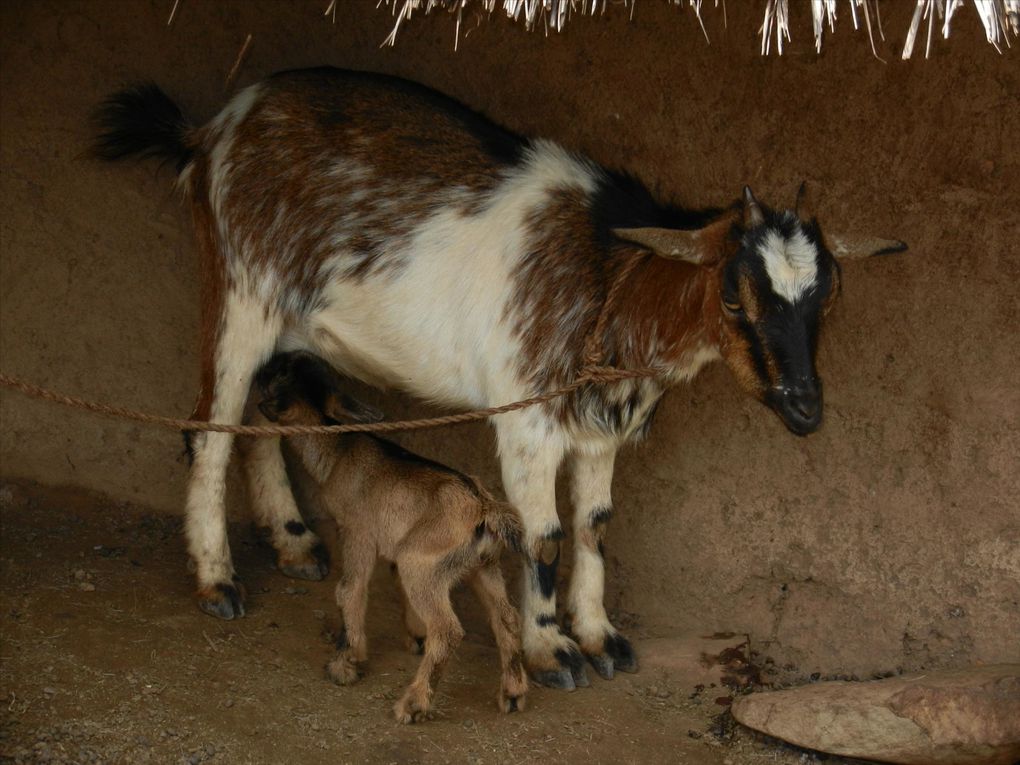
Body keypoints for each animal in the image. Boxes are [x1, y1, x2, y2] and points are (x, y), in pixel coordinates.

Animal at [252, 352, 526, 726]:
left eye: (280, 373)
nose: (259, 370)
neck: (339, 450)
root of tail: (484, 507)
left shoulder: (357, 531)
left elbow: (349, 588)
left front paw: (346, 663)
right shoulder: (394, 544)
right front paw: (414, 636)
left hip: (423, 562)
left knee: (448, 630)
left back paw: (413, 704)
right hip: (482, 565)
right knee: (507, 618)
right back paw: (512, 692)